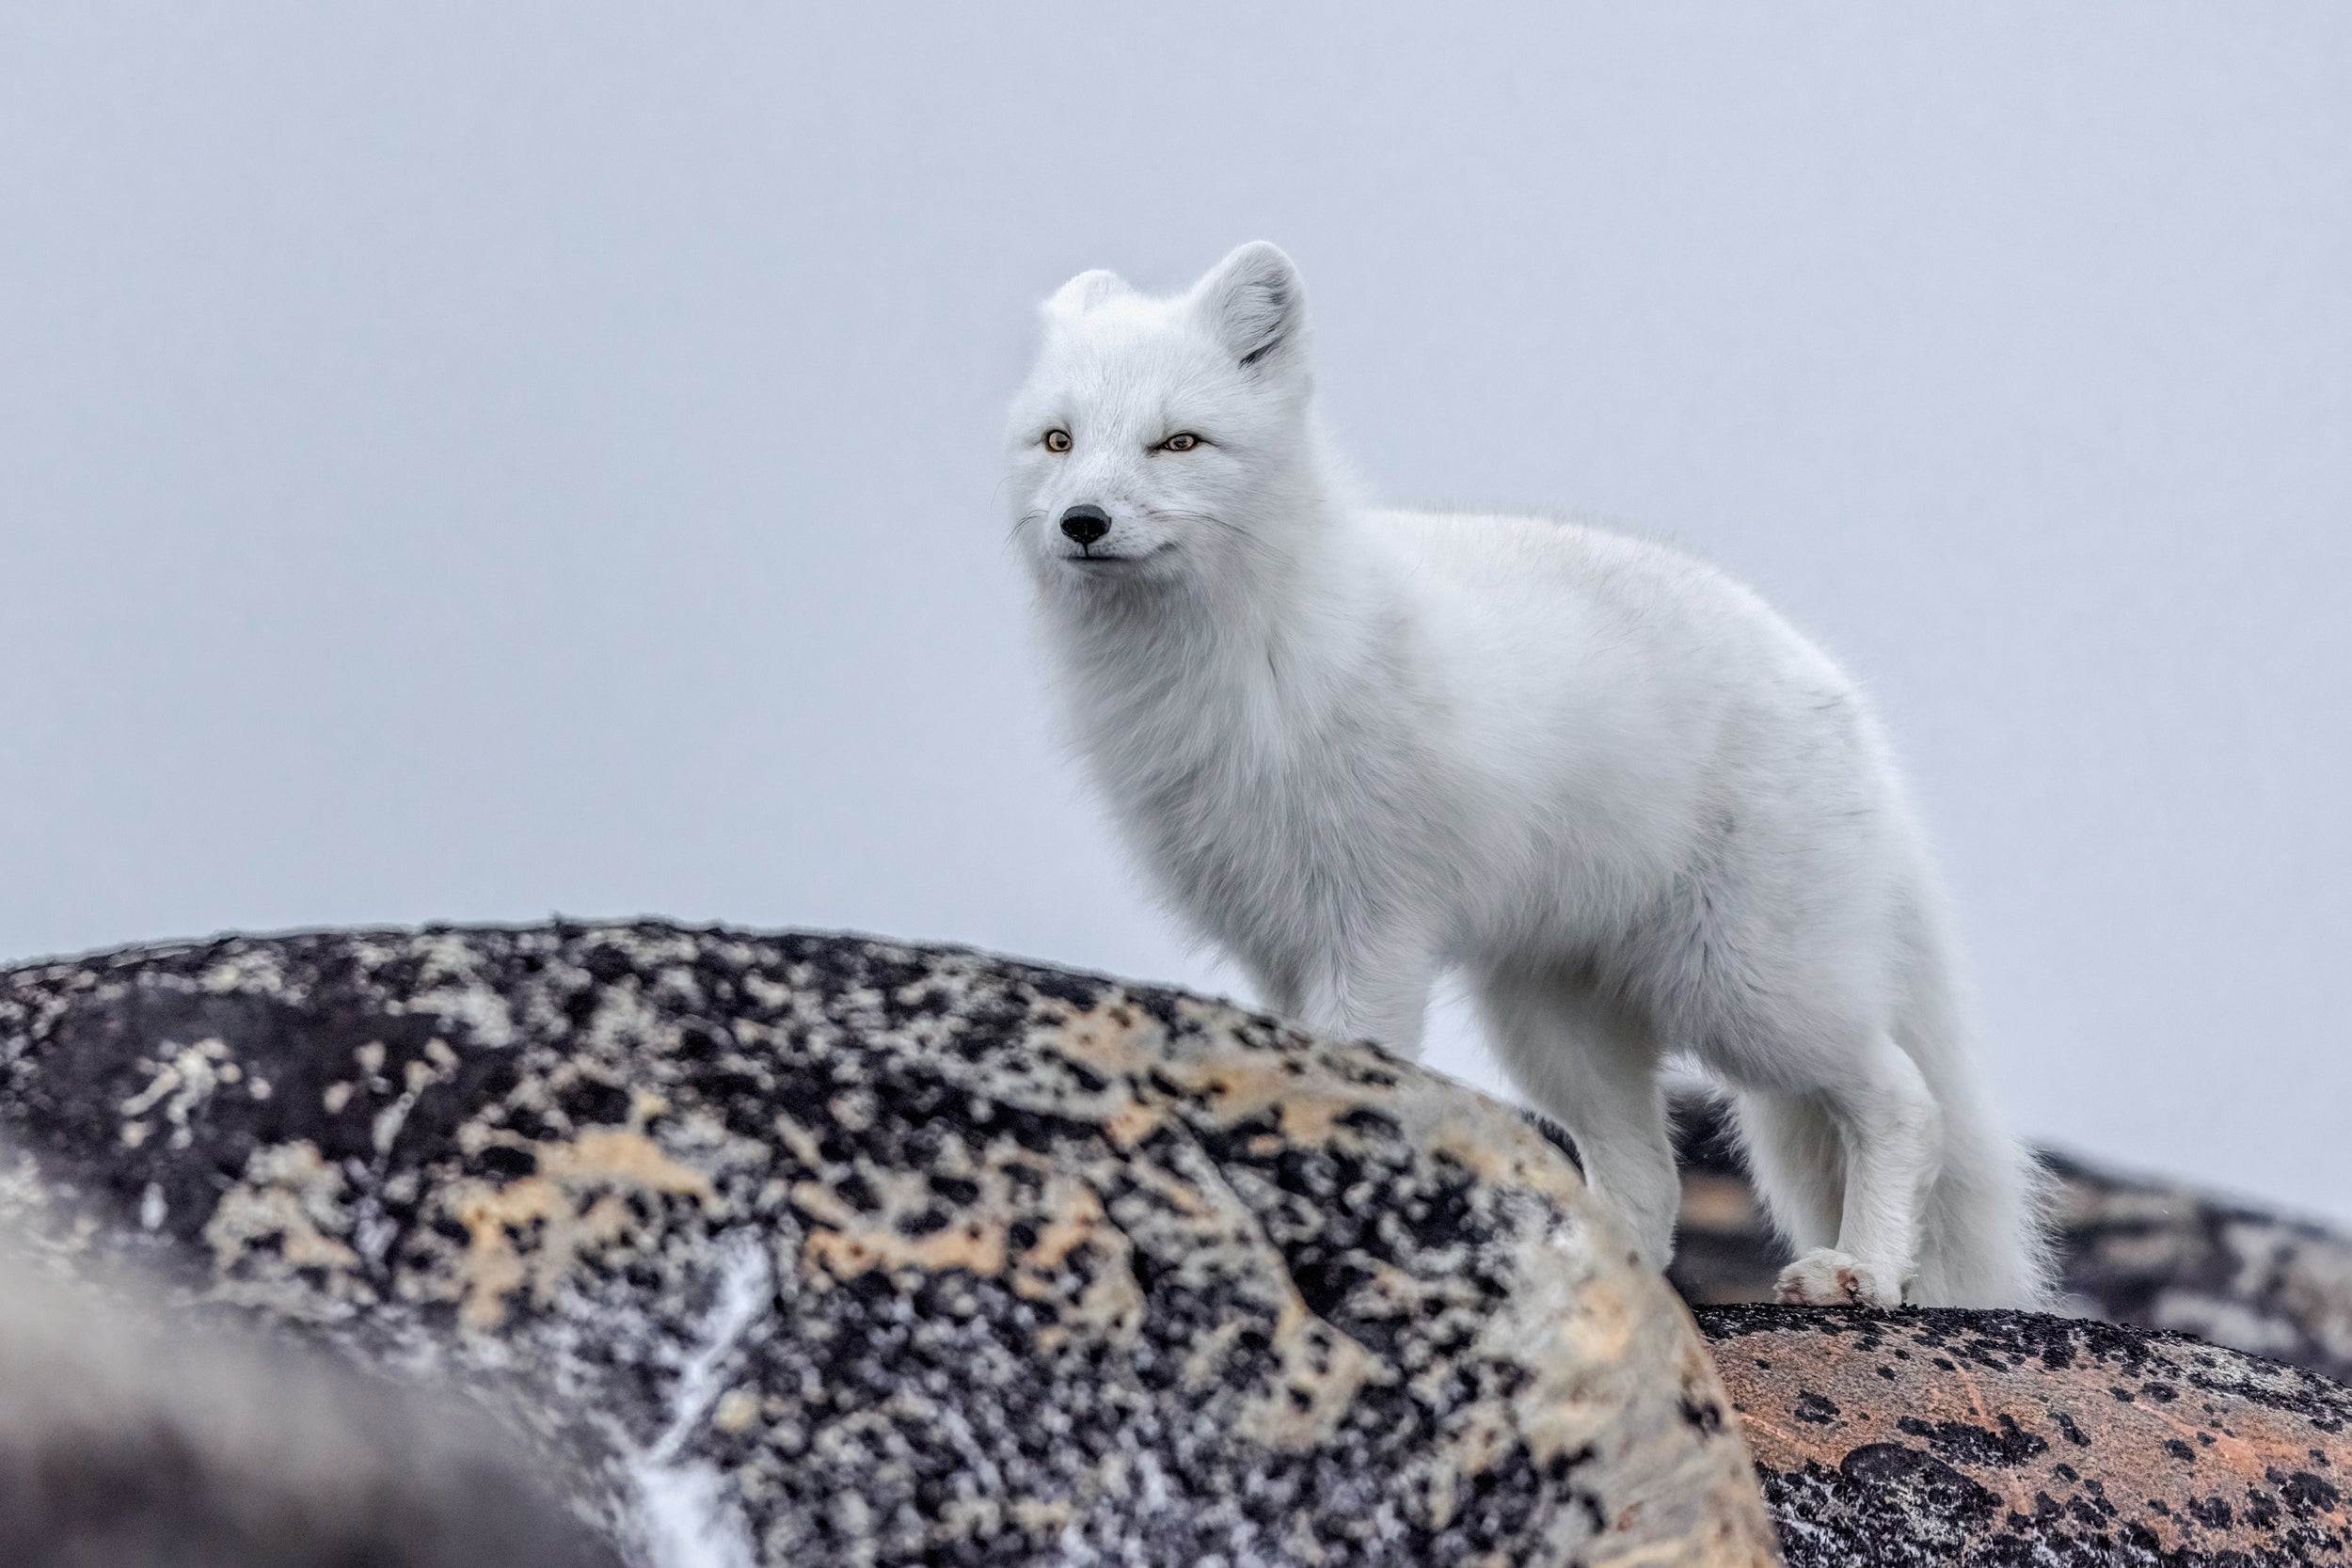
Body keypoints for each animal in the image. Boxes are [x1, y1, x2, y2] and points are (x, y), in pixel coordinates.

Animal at [1004, 241, 2049, 1308]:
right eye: (1057, 440)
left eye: (1178, 442)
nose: (1082, 520)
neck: (1248, 653)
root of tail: (1838, 692)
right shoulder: (1276, 938)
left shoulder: (1371, 932)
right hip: (1555, 1026)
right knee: (1649, 1178)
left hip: (1748, 994)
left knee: (1902, 1097)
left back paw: (1859, 1270)